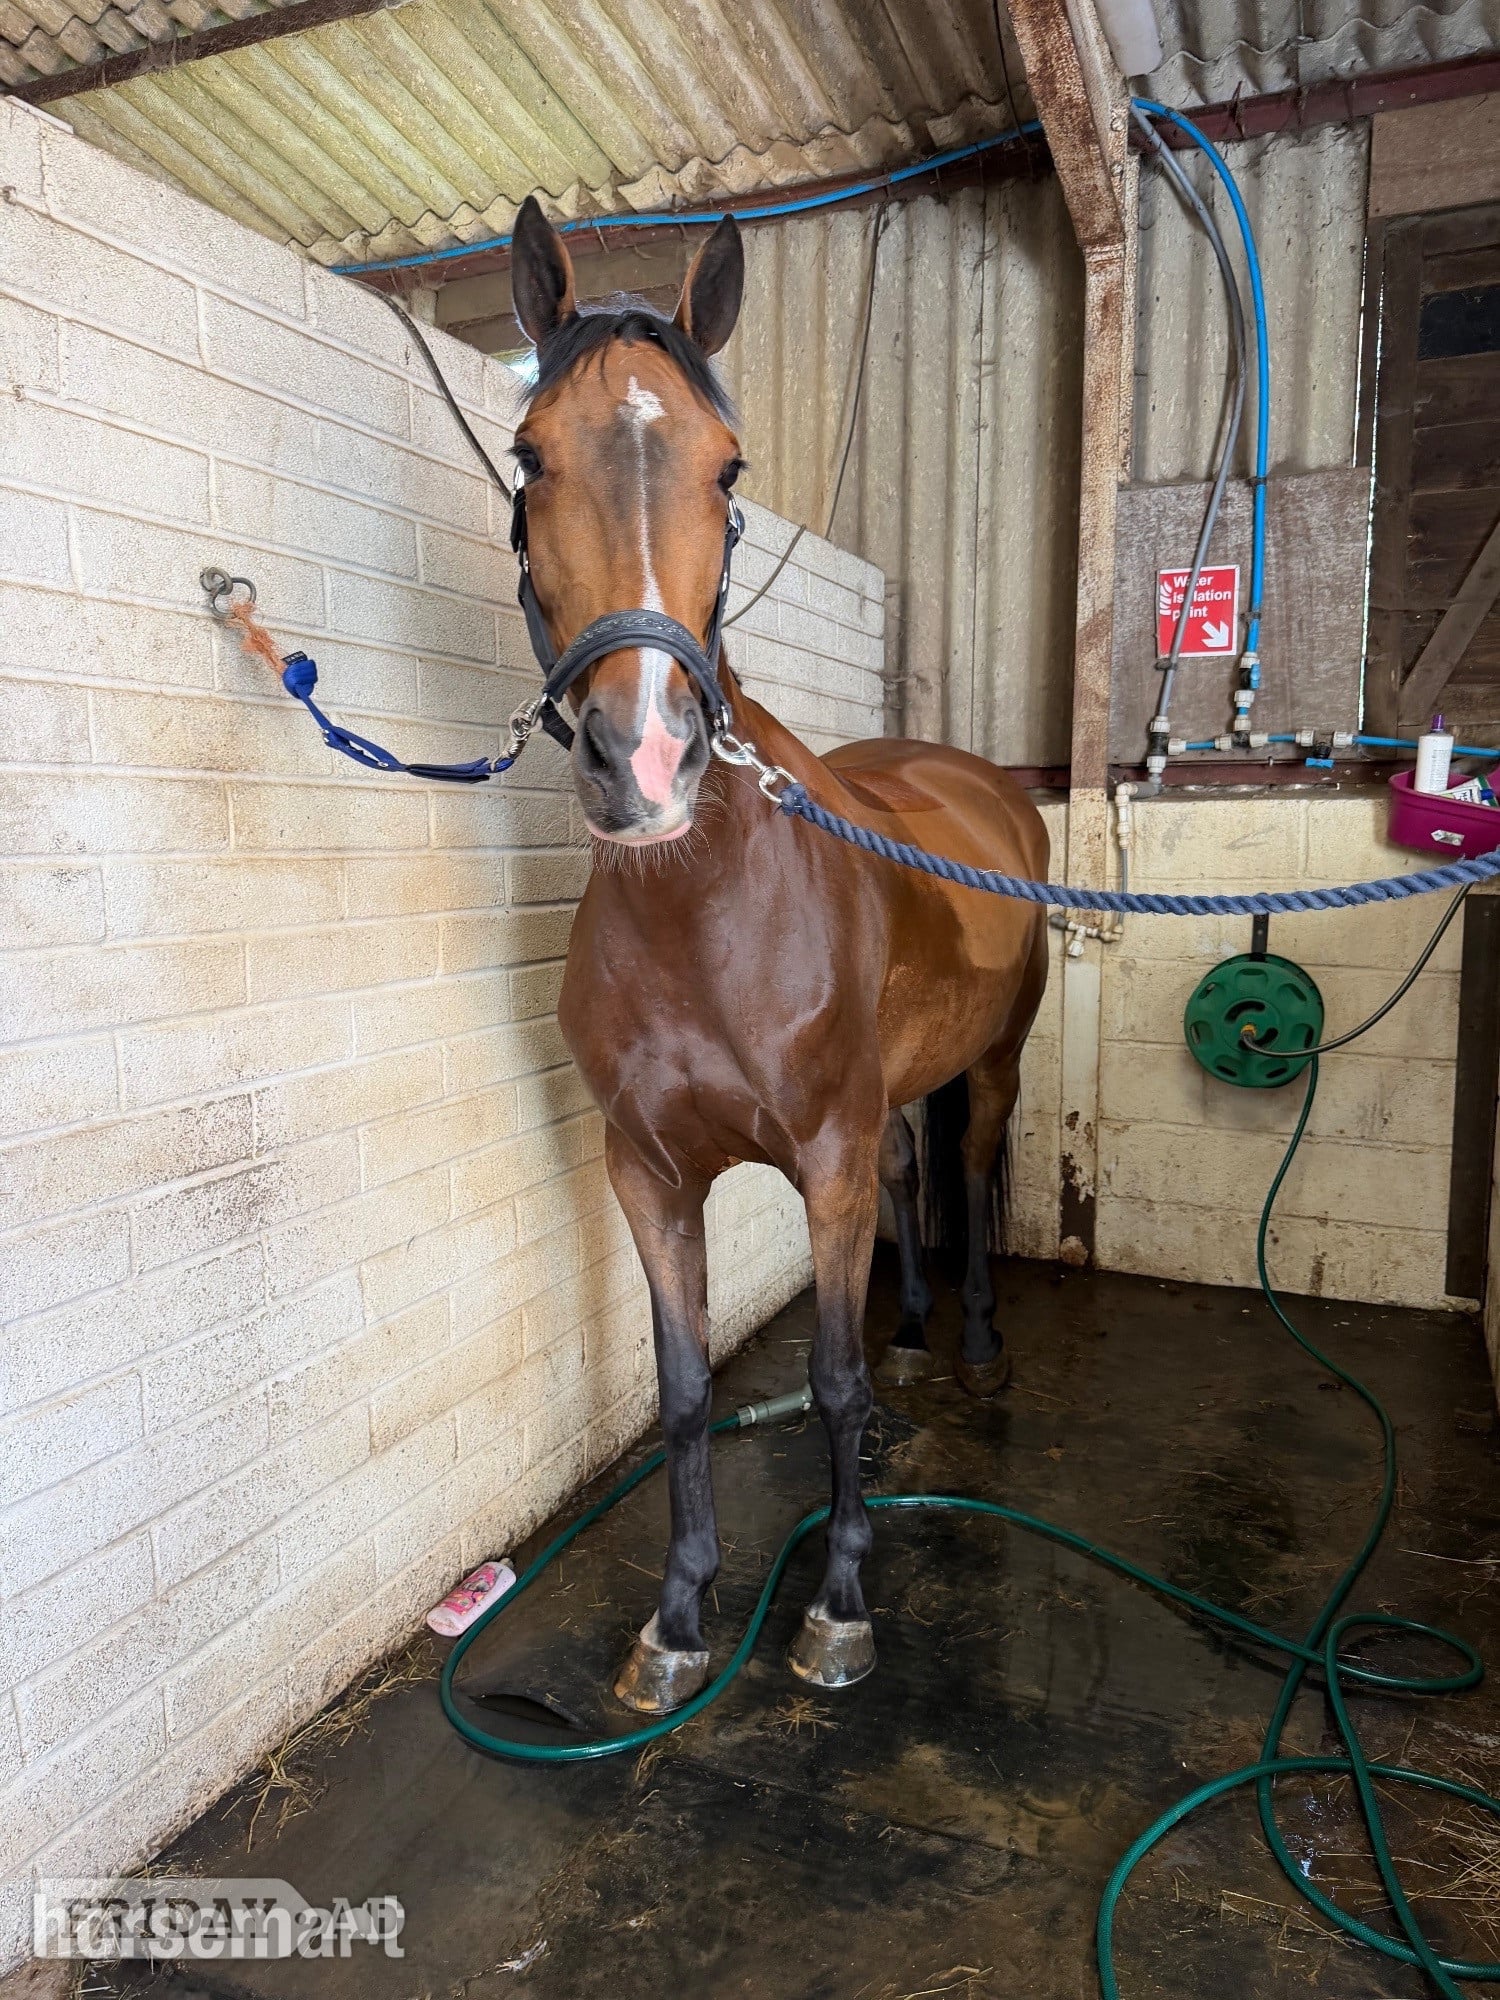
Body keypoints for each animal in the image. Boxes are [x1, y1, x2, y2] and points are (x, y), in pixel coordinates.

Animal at [505, 196, 1050, 1713]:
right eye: (530, 454)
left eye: (729, 464)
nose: (644, 759)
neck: (705, 904)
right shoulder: (647, 1172)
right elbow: (688, 1392)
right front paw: (681, 1618)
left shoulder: (825, 1159)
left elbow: (835, 1381)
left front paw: (841, 1602)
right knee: (922, 1169)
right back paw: (921, 1327)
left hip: (994, 1062)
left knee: (969, 1163)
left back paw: (973, 1345)